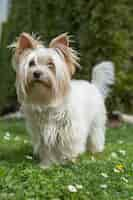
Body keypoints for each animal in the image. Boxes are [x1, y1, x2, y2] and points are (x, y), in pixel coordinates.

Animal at [11, 32, 114, 167]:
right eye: (31, 63)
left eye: (51, 64)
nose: (37, 73)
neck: (47, 100)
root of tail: (93, 85)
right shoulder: (42, 133)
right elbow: (46, 149)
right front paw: (46, 165)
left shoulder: (70, 131)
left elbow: (68, 147)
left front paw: (67, 161)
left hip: (96, 123)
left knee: (96, 137)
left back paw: (95, 152)